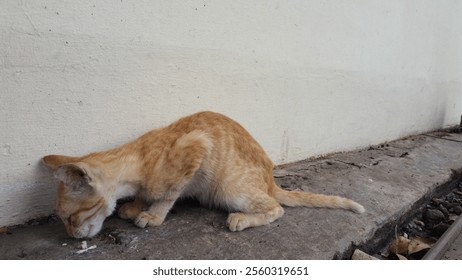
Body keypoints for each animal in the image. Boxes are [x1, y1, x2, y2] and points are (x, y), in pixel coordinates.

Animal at [41, 110, 362, 237]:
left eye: (71, 218)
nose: (71, 236)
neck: (139, 157)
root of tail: (271, 181)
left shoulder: (198, 146)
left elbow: (168, 194)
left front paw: (152, 215)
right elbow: (145, 195)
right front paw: (135, 205)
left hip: (230, 188)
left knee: (277, 208)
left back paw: (242, 219)